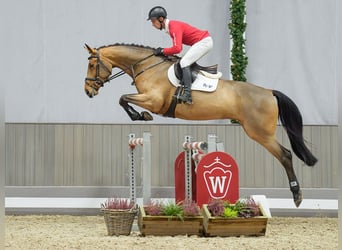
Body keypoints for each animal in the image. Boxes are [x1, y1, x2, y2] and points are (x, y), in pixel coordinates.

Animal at [83, 43, 318, 207]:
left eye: (93, 65)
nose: (88, 91)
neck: (146, 66)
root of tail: (269, 92)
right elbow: (123, 99)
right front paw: (140, 115)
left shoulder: (153, 100)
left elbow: (123, 98)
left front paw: (141, 116)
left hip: (260, 133)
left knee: (285, 154)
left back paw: (297, 195)